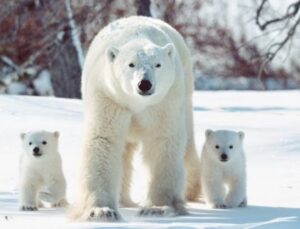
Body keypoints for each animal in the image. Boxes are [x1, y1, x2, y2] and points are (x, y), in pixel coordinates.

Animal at [71, 15, 200, 221]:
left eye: (158, 64)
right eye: (131, 64)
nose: (144, 84)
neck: (136, 103)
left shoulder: (164, 101)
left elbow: (163, 140)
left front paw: (157, 207)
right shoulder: (109, 96)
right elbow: (104, 140)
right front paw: (101, 211)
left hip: (185, 90)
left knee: (187, 143)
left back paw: (191, 191)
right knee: (124, 152)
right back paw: (123, 200)